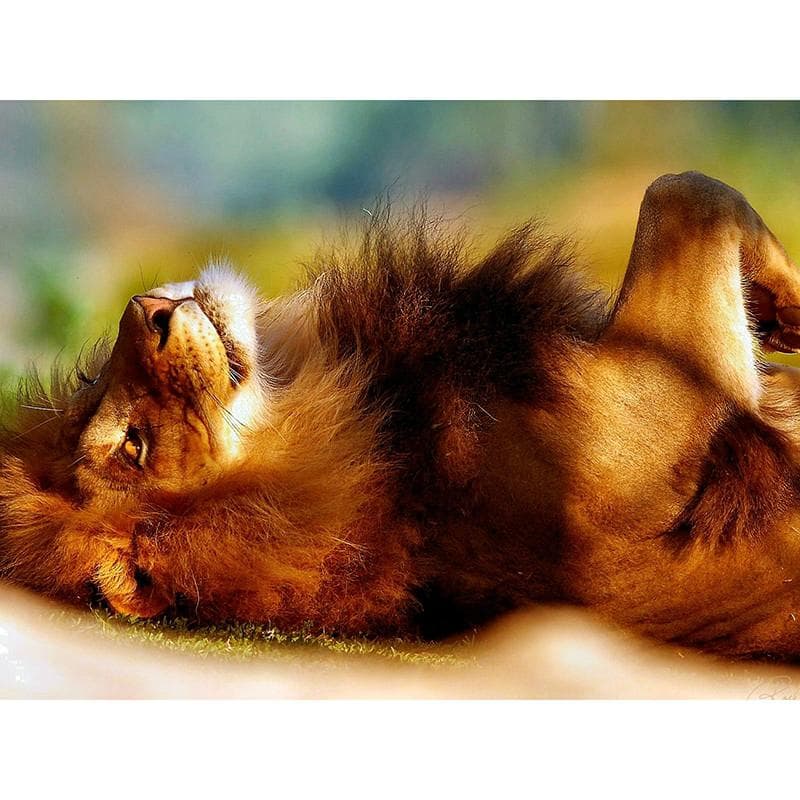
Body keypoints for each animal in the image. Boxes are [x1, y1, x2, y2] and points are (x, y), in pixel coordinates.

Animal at [3, 171, 800, 659]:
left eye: (92, 382)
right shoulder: (676, 390)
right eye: (132, 446)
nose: (146, 308)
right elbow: (687, 196)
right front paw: (788, 310)